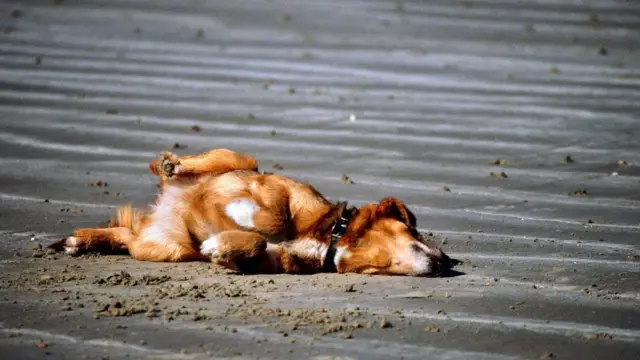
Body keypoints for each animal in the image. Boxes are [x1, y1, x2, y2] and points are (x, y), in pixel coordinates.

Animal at [48, 148, 450, 278]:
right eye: (415, 232)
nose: (447, 261)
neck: (331, 236)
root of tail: (159, 212)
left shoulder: (276, 260)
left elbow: (256, 245)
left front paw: (222, 247)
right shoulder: (280, 189)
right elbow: (273, 216)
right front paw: (240, 215)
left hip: (166, 247)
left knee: (128, 236)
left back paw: (80, 241)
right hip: (239, 159)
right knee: (210, 162)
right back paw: (170, 165)